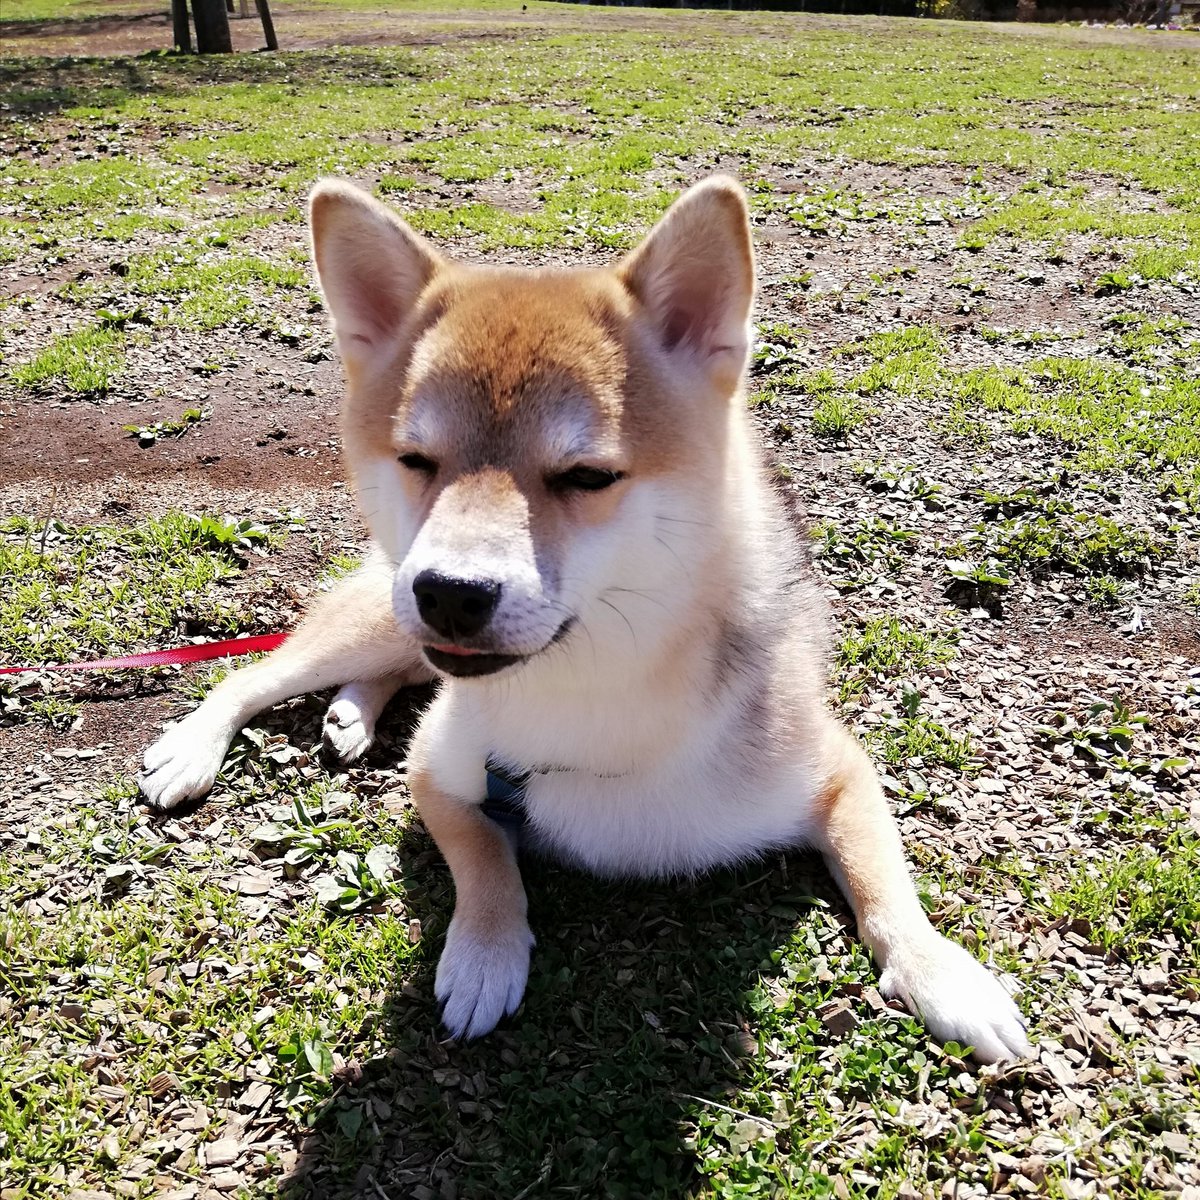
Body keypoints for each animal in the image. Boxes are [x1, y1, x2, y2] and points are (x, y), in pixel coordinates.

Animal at [139, 176, 1031, 1063]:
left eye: (587, 475)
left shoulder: (838, 772)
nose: (448, 592)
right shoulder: (437, 772)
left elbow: (886, 882)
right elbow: (487, 863)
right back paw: (198, 747)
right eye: (417, 461)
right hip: (377, 617)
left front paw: (943, 975)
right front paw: (484, 954)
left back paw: (351, 716)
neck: (591, 700)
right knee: (255, 674)